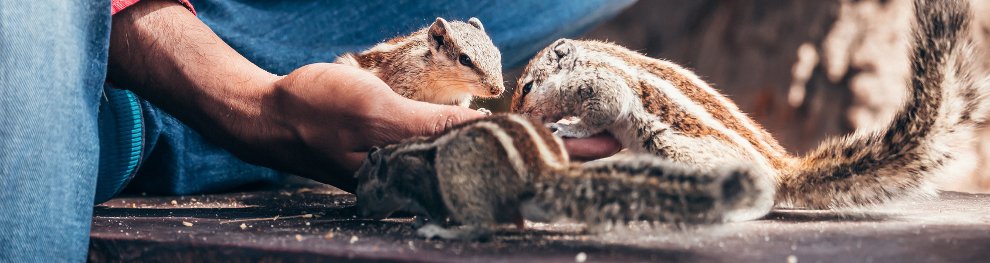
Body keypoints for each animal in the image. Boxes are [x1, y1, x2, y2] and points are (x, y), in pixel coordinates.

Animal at [356, 114, 768, 242]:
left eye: (362, 186)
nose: (359, 211)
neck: (394, 160)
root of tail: (541, 172)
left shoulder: (418, 177)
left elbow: (431, 204)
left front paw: (425, 221)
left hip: (458, 170)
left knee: (483, 227)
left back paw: (447, 232)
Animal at [512, 0, 990, 221]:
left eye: (528, 86)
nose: (519, 112)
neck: (590, 58)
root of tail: (782, 170)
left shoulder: (605, 87)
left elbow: (600, 111)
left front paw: (568, 127)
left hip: (679, 149)